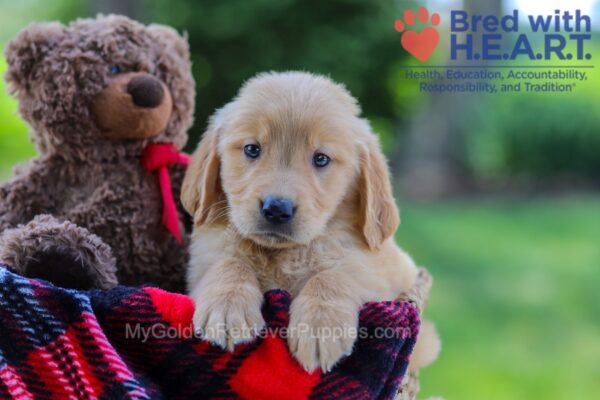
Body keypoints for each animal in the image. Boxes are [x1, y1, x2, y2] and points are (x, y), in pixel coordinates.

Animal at [180, 71, 438, 372]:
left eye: (321, 158)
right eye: (252, 149)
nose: (276, 209)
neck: (282, 254)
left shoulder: (381, 275)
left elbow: (336, 273)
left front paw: (319, 328)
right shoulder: (201, 263)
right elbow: (230, 262)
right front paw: (227, 308)